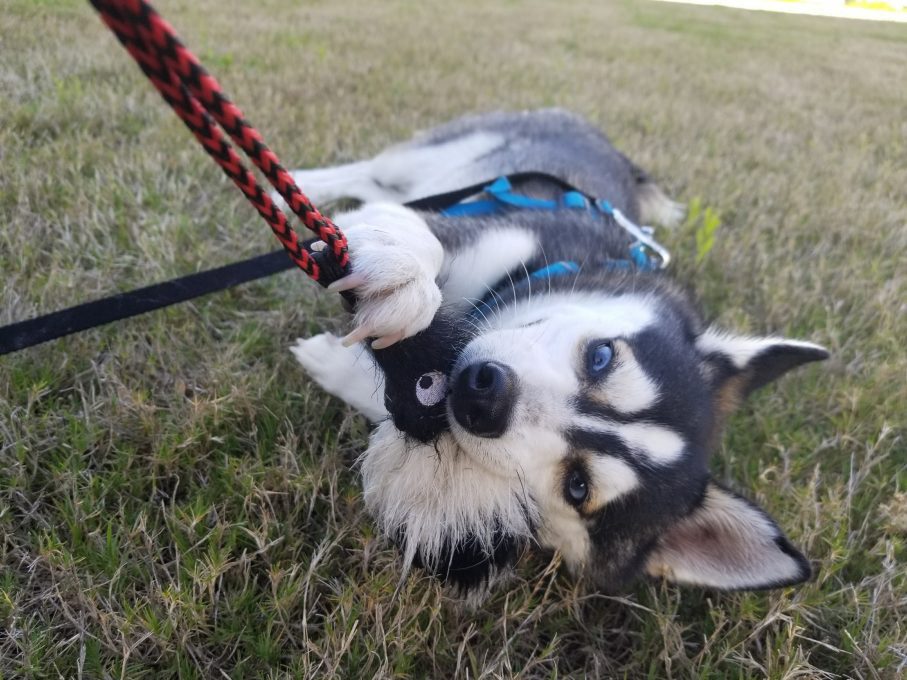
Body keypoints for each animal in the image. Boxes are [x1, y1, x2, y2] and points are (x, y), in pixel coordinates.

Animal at [280, 110, 828, 600]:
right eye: (602, 357)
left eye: (578, 487)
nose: (485, 391)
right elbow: (421, 239)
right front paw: (401, 272)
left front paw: (341, 365)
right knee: (367, 174)